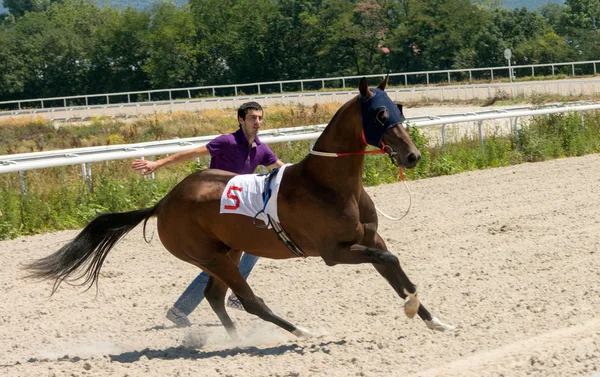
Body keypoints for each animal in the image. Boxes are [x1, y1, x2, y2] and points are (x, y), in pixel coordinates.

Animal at [24, 76, 454, 338]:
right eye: (380, 113)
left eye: (400, 108)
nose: (412, 155)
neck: (330, 185)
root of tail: (163, 202)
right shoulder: (335, 252)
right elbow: (390, 260)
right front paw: (414, 309)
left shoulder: (370, 238)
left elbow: (395, 269)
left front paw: (434, 319)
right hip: (211, 256)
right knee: (247, 300)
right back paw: (300, 331)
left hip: (226, 252)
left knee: (216, 297)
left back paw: (234, 339)